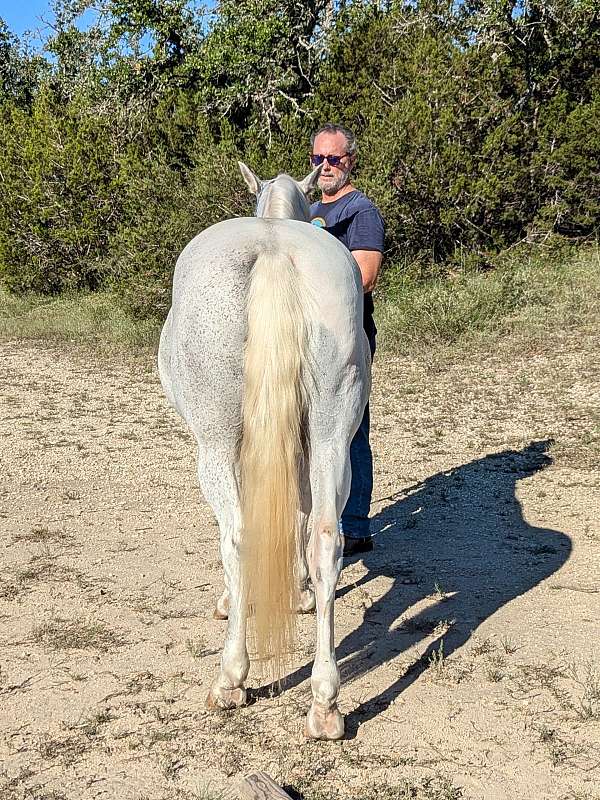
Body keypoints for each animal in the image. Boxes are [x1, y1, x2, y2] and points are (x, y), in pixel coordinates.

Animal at [157, 161, 370, 736]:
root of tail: (272, 252)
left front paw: (230, 602)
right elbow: (300, 514)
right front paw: (300, 591)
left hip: (214, 445)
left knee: (239, 534)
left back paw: (230, 679)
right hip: (332, 434)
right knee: (326, 538)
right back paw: (325, 704)